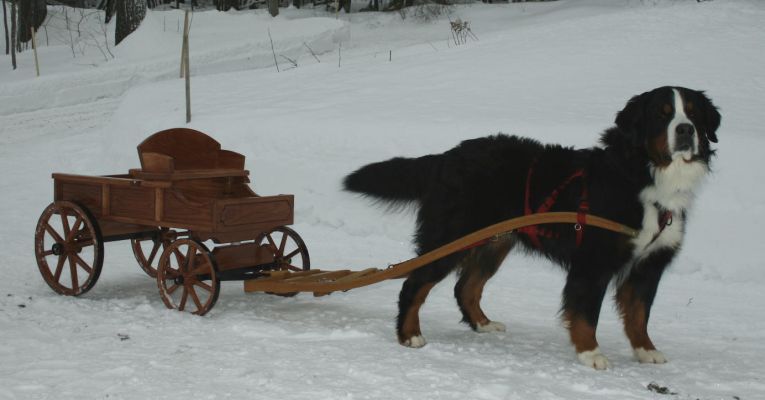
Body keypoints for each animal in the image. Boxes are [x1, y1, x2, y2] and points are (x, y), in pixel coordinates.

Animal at [344, 86, 720, 368]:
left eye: (693, 113)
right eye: (661, 114)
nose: (685, 130)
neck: (642, 176)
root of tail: (448, 156)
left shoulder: (649, 265)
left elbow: (639, 314)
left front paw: (645, 350)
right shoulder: (593, 263)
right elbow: (587, 313)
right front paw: (591, 354)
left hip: (493, 242)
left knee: (466, 287)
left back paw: (483, 324)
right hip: (451, 238)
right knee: (414, 284)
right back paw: (409, 334)